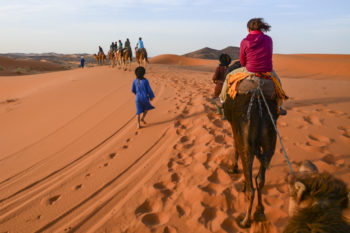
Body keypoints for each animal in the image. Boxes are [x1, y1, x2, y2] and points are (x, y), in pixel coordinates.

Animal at [224, 78, 278, 228]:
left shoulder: (235, 128)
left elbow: (235, 147)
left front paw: (233, 168)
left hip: (246, 140)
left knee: (252, 189)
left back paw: (245, 220)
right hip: (270, 141)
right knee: (260, 179)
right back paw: (260, 211)